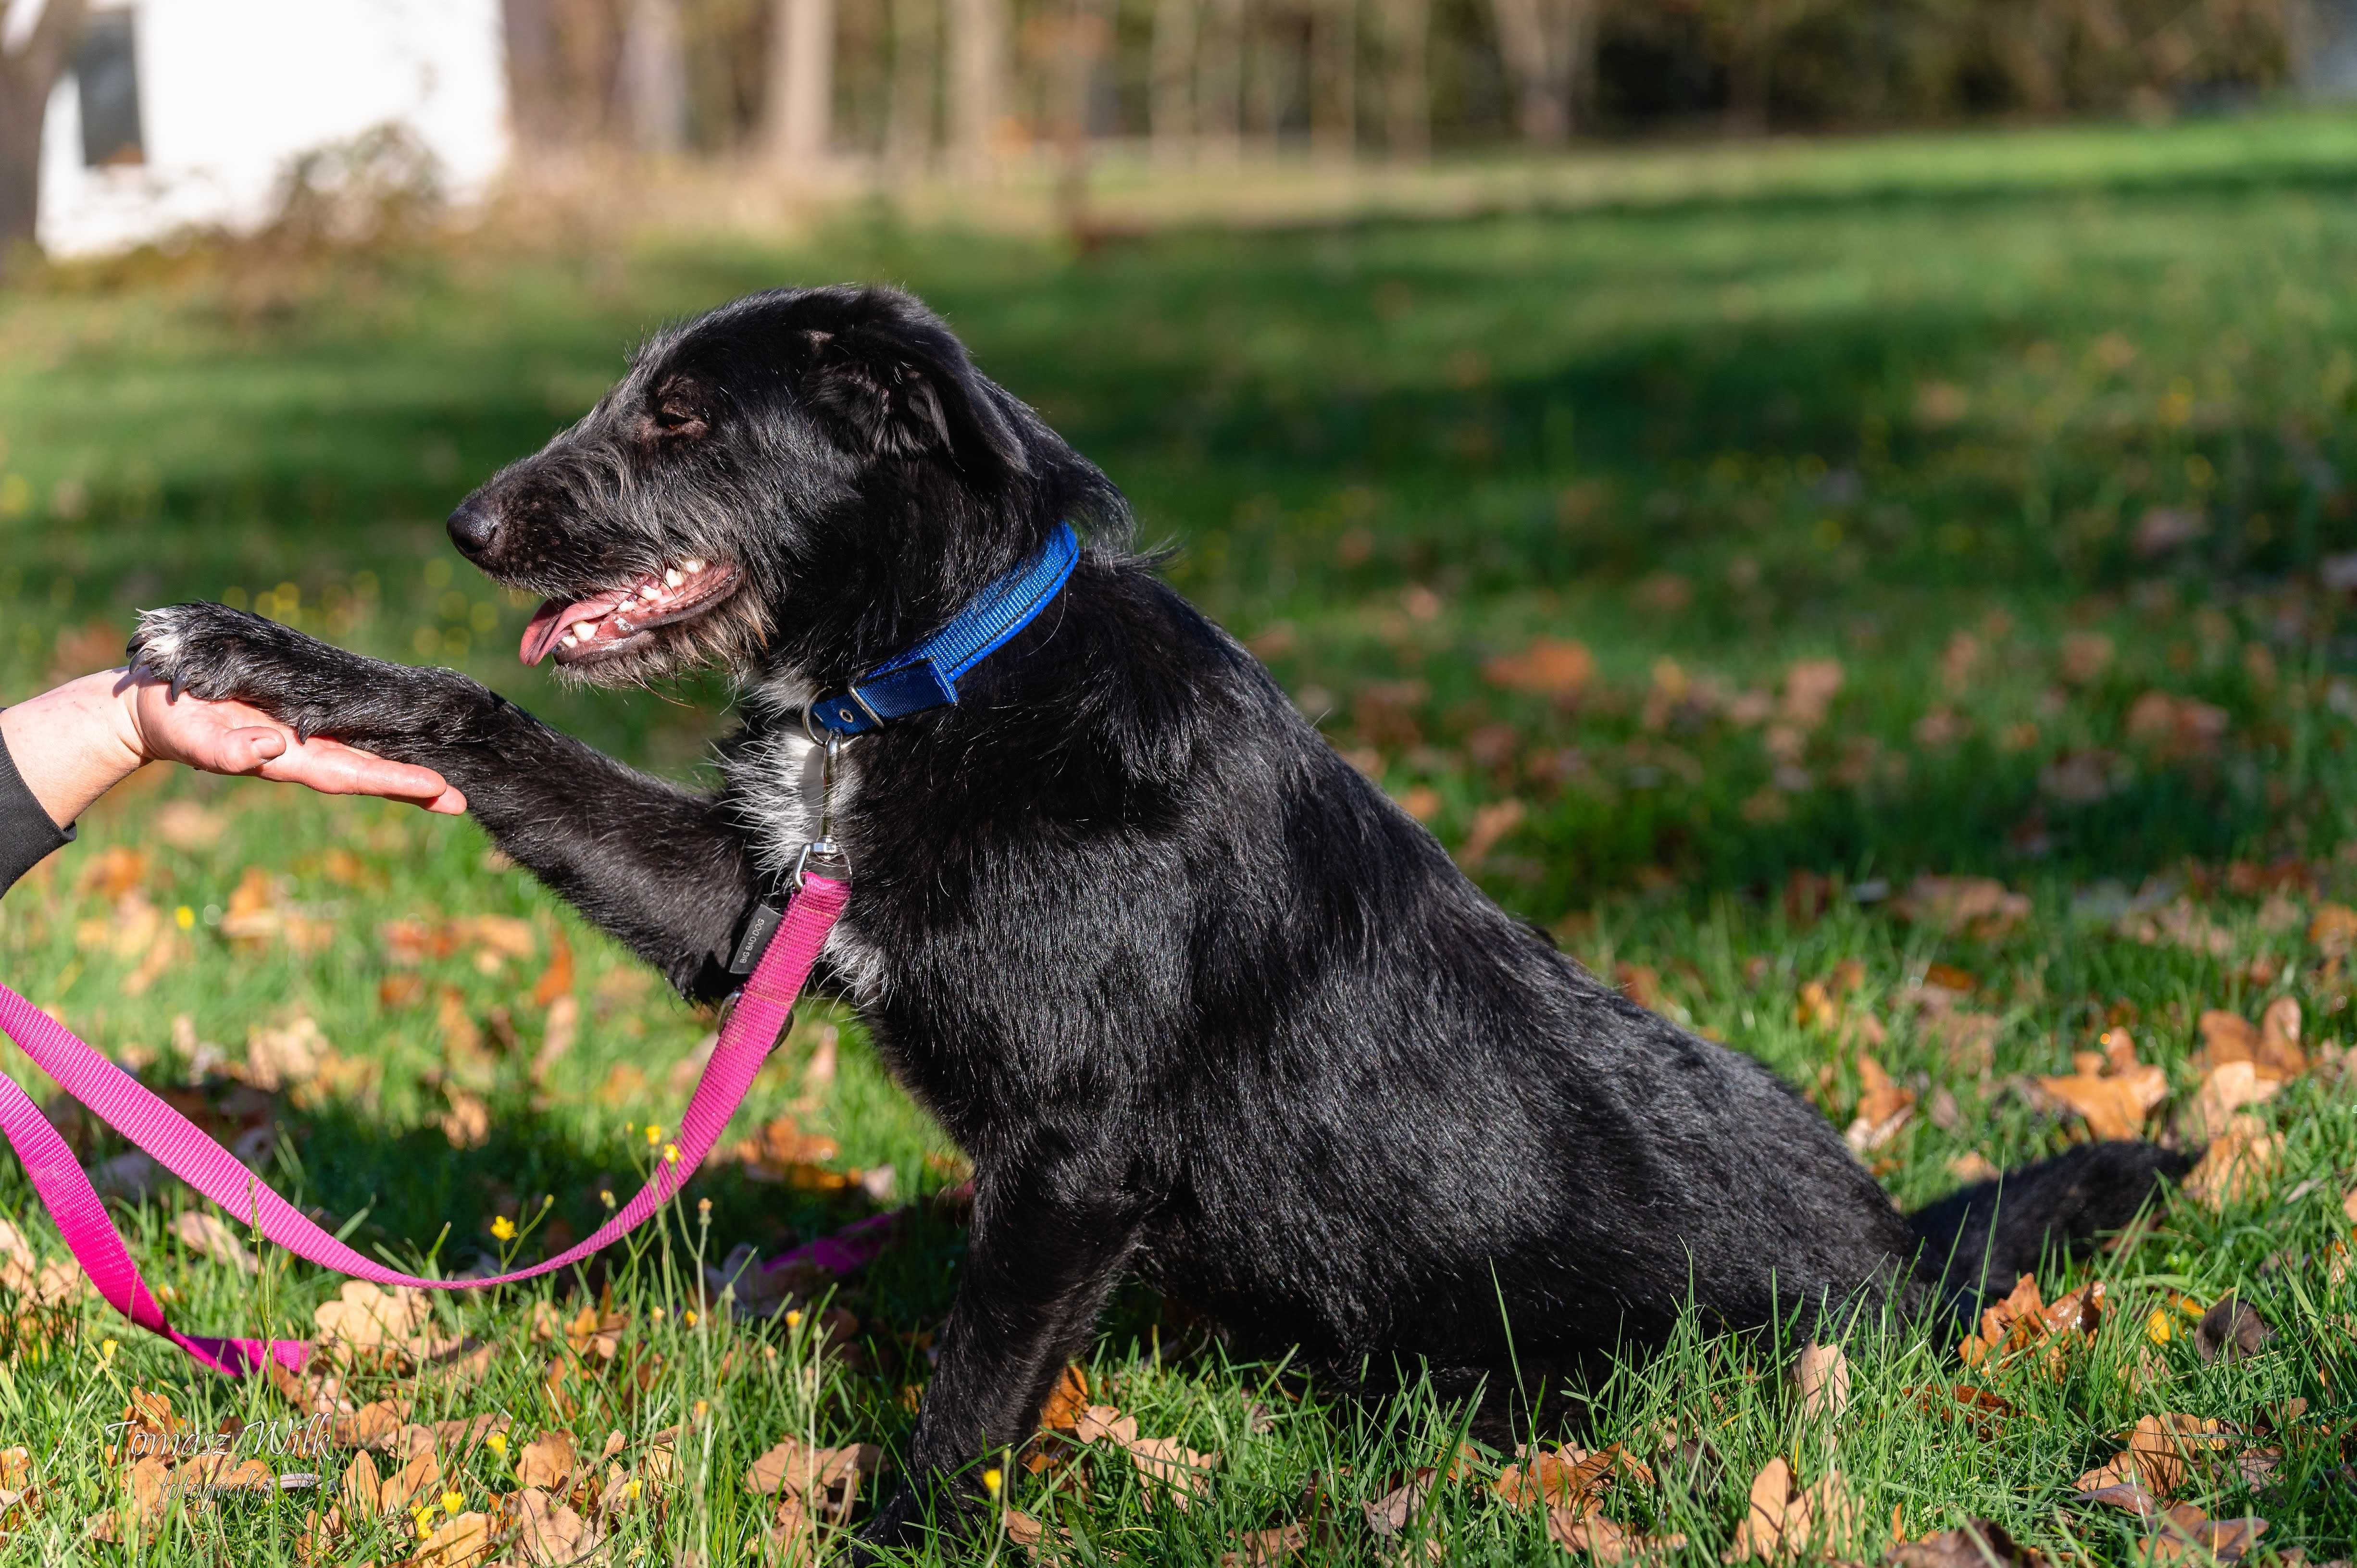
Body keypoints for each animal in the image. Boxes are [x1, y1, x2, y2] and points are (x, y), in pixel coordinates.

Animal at [129, 287, 2187, 1546]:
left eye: (687, 416)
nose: (468, 527)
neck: (938, 680)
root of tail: (1907, 1261)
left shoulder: (1072, 1164)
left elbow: (969, 1395)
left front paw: (900, 1539)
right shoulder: (755, 901)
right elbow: (494, 726)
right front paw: (260, 660)